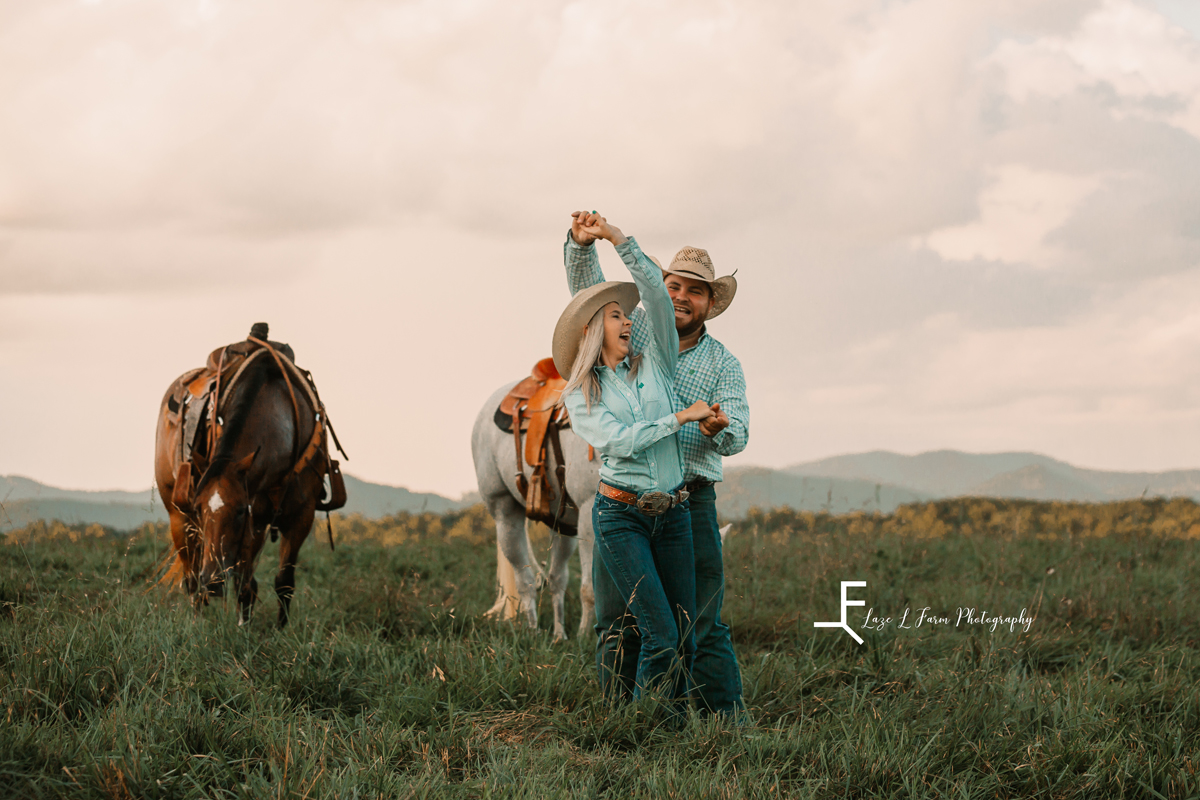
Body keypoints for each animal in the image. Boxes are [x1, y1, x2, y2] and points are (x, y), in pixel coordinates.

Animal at [152, 328, 345, 628]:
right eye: (200, 507)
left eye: (241, 510)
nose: (213, 581)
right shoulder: (253, 520)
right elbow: (244, 583)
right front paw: (244, 628)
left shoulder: (298, 516)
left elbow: (283, 582)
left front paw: (279, 630)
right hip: (178, 518)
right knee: (191, 578)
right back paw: (196, 622)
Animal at [470, 383, 597, 642]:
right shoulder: (589, 514)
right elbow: (590, 589)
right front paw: (586, 638)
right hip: (505, 515)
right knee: (525, 581)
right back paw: (533, 632)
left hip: (564, 527)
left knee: (557, 579)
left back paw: (559, 636)